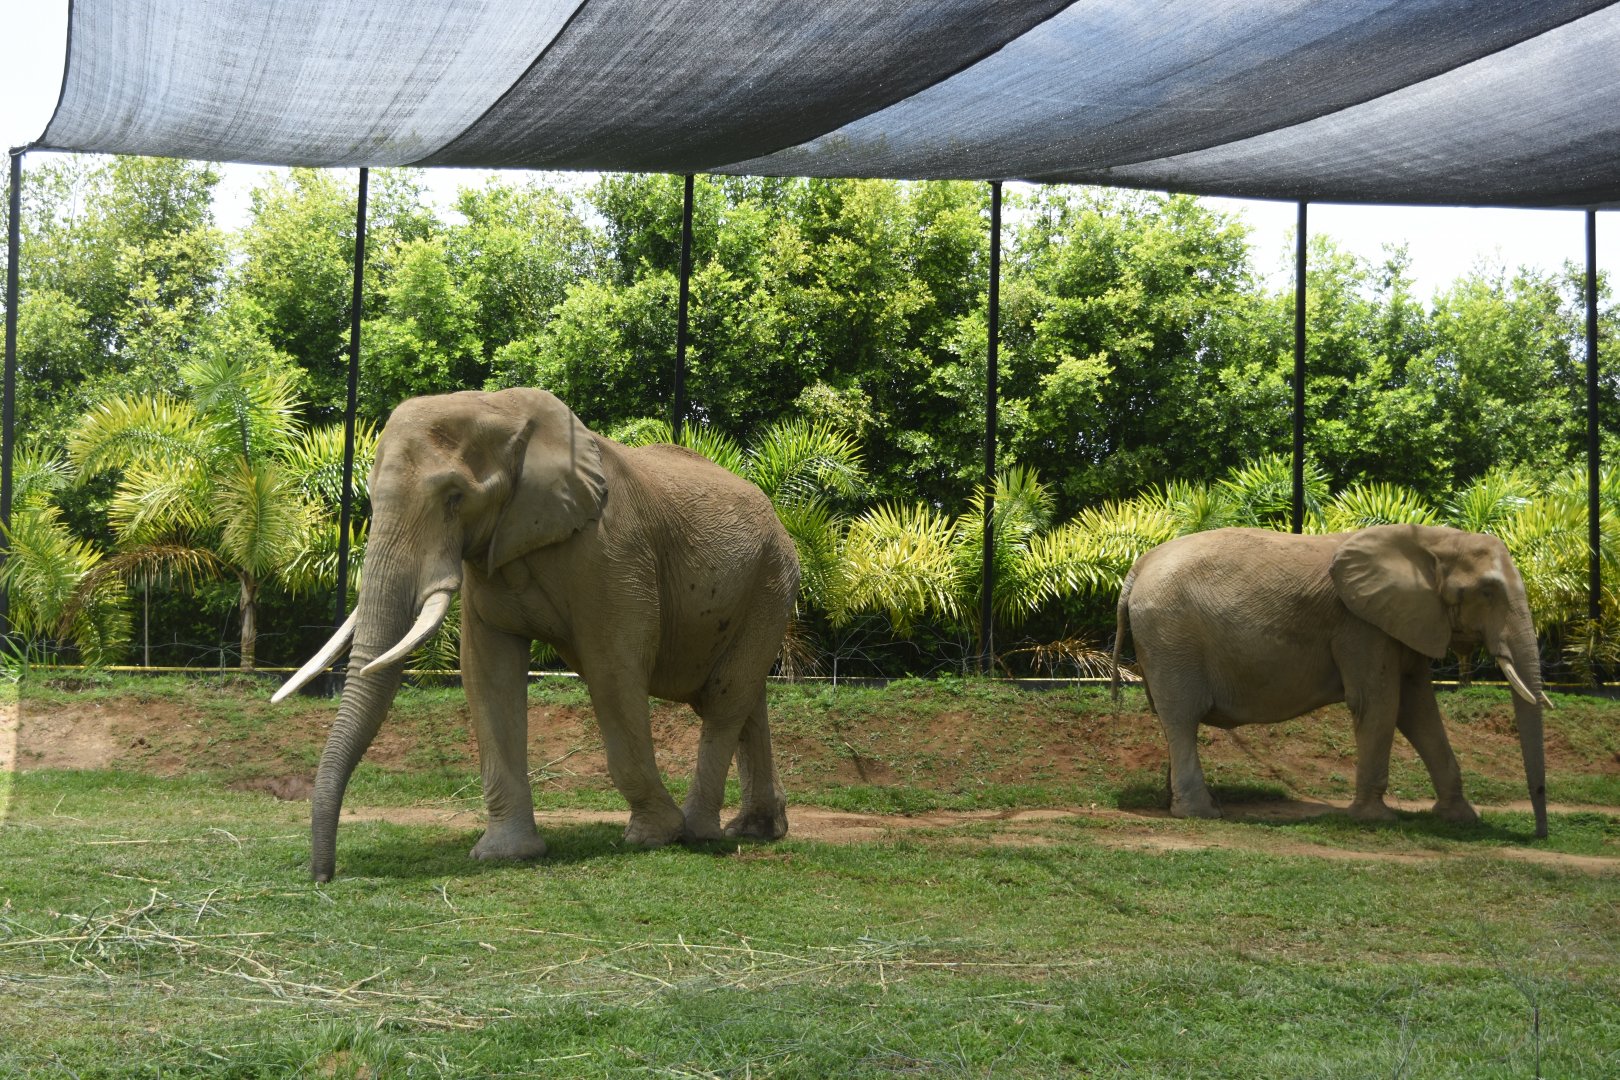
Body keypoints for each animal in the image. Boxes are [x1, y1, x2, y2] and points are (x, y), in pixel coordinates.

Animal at [274, 387, 800, 881]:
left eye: (454, 498)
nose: (322, 876)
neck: (502, 410)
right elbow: (487, 673)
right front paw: (506, 855)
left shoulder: (611, 553)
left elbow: (613, 669)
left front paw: (653, 837)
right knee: (743, 696)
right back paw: (754, 831)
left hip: (771, 581)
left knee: (724, 697)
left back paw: (699, 833)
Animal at [1112, 524, 1548, 836]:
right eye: (1488, 592)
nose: (1540, 835)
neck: (1431, 539)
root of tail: (1137, 569)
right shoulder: (1361, 626)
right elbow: (1380, 702)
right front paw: (1375, 821)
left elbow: (1418, 709)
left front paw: (1460, 818)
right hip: (1172, 638)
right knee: (1182, 717)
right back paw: (1203, 813)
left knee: (1170, 720)